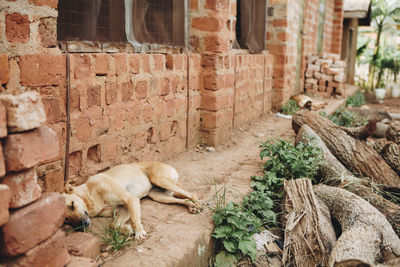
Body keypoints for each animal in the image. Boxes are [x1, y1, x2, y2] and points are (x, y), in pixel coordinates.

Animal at [63, 161, 202, 241]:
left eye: (72, 205)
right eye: (66, 219)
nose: (83, 225)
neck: (89, 194)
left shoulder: (130, 199)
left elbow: (135, 219)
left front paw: (139, 231)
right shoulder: (124, 208)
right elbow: (113, 225)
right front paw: (127, 230)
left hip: (159, 179)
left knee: (192, 194)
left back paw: (199, 205)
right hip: (159, 196)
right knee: (184, 198)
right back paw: (191, 206)